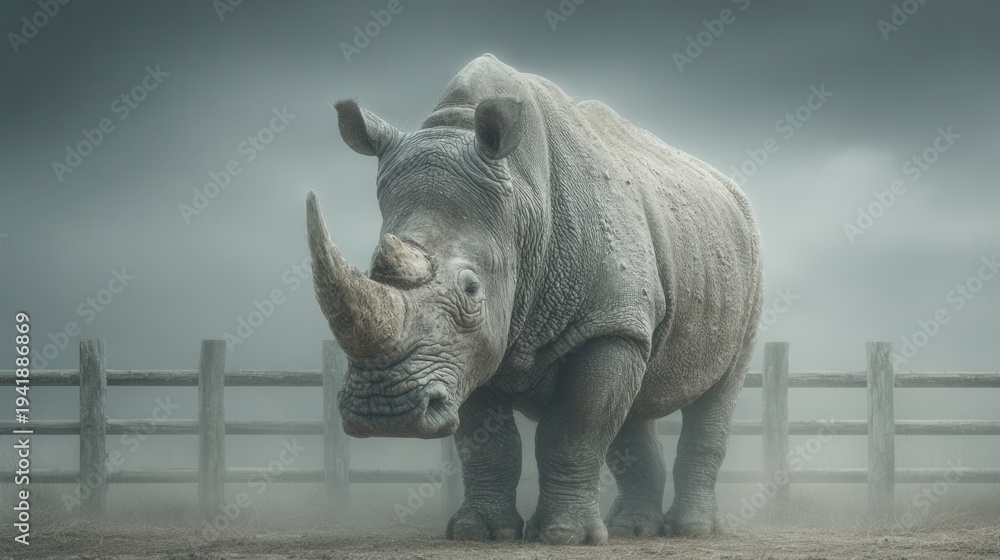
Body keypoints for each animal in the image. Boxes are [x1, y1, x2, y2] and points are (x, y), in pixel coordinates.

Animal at [306, 54, 763, 544]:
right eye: (372, 268)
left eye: (471, 289)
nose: (385, 410)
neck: (524, 207)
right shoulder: (469, 351)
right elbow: (488, 445)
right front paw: (480, 532)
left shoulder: (603, 321)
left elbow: (575, 431)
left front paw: (565, 536)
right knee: (635, 395)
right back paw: (635, 529)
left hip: (748, 259)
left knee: (720, 389)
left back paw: (693, 530)